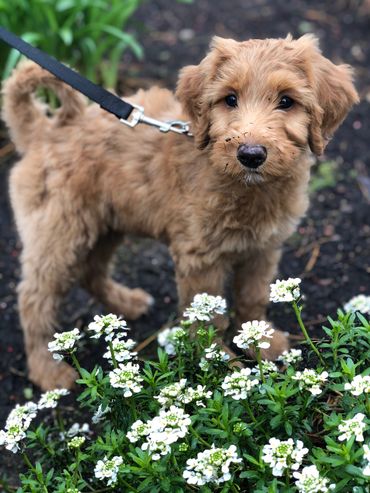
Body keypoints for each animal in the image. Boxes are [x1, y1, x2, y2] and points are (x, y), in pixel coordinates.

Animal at [2, 33, 358, 388]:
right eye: (230, 99)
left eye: (286, 101)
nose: (251, 155)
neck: (247, 188)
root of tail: (43, 131)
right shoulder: (200, 258)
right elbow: (207, 316)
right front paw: (221, 364)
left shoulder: (264, 248)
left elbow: (253, 298)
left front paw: (262, 341)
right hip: (59, 233)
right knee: (34, 298)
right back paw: (47, 369)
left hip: (107, 224)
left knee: (91, 271)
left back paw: (126, 303)